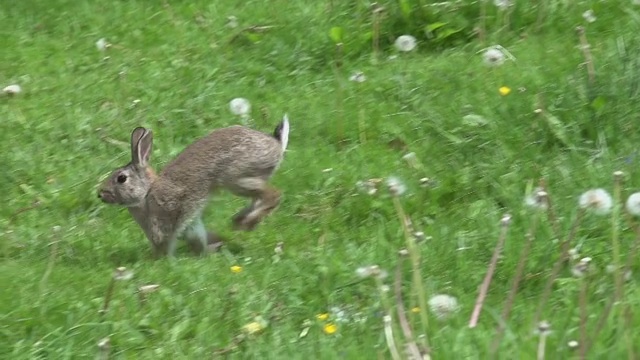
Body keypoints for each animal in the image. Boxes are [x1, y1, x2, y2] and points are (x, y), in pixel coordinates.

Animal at [96, 114, 288, 256]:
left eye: (121, 178)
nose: (101, 194)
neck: (147, 192)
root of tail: (276, 144)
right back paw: (241, 221)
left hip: (236, 177)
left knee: (273, 195)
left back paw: (245, 223)